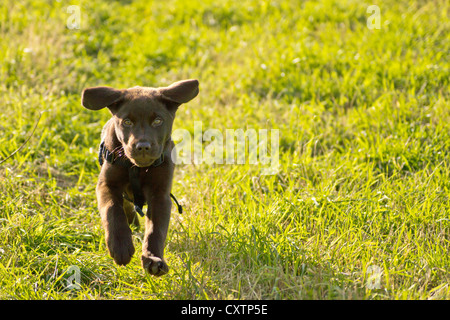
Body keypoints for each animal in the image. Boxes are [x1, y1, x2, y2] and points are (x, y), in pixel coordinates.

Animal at [81, 79, 200, 276]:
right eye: (127, 122)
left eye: (158, 121)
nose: (142, 146)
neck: (138, 168)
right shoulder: (107, 184)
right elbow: (112, 210)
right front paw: (120, 246)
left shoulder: (160, 194)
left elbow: (155, 230)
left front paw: (154, 259)